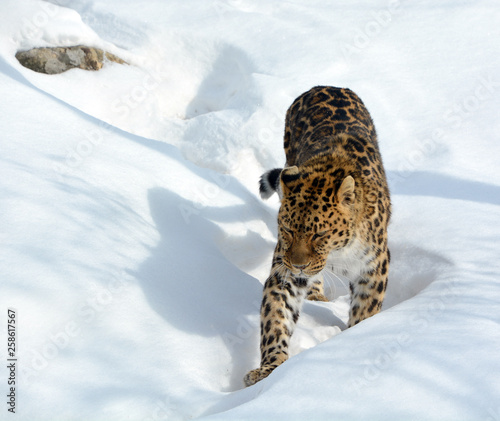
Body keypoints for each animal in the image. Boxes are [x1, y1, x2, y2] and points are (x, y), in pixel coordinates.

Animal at [244, 85, 392, 388]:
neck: (339, 251)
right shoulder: (284, 271)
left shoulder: (374, 267)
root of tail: (327, 86)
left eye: (319, 234)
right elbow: (276, 318)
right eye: (288, 229)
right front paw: (270, 369)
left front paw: (356, 341)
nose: (299, 265)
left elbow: (365, 311)